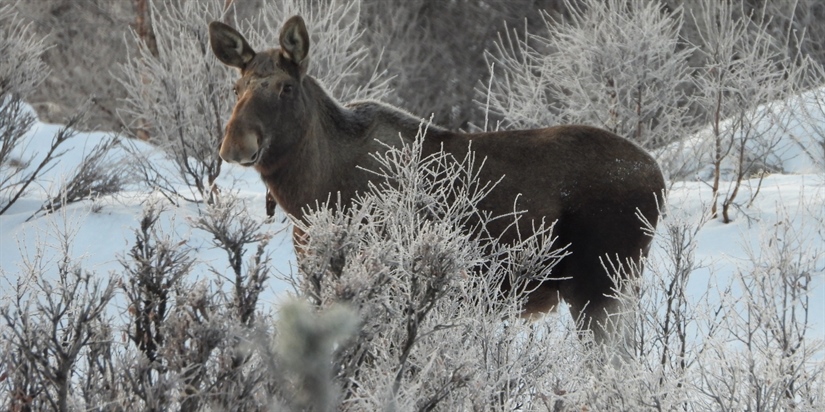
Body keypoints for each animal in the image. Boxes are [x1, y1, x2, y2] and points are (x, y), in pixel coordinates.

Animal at [209, 15, 668, 344]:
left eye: (285, 87)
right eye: (236, 87)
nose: (235, 143)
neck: (308, 196)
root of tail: (658, 177)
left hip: (602, 287)